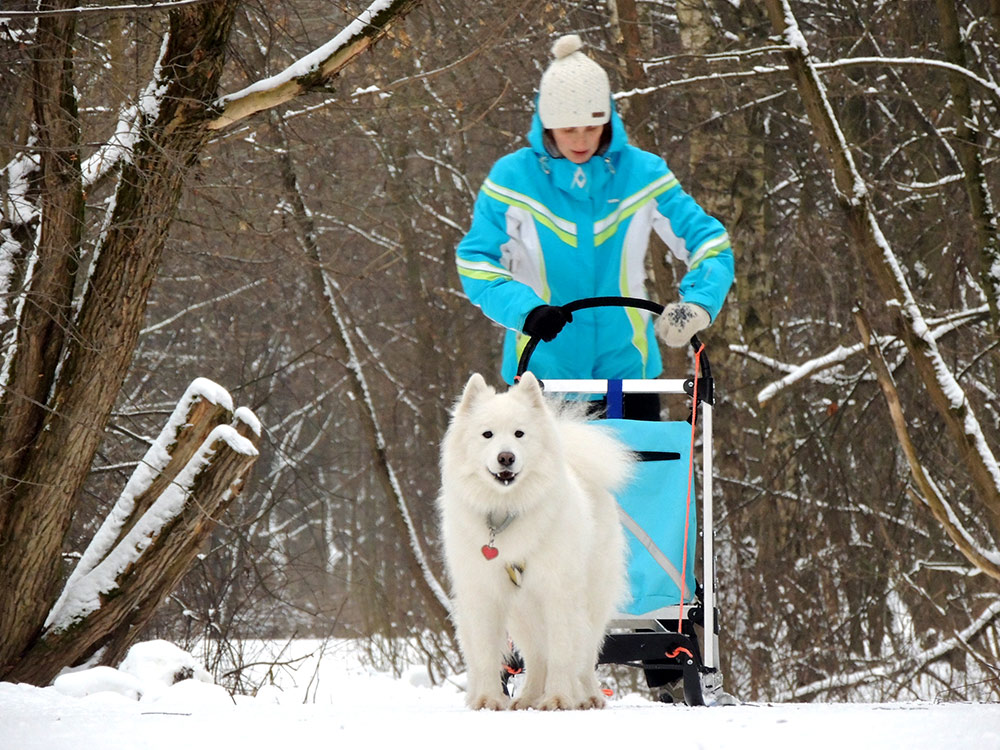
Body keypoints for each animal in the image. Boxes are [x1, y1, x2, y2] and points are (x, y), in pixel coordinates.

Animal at [436, 374, 628, 712]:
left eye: (519, 433)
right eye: (487, 434)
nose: (506, 457)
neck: (505, 514)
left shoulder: (558, 592)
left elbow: (563, 652)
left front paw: (559, 698)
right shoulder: (482, 594)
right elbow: (485, 654)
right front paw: (487, 699)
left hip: (589, 598)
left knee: (585, 652)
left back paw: (587, 696)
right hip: (522, 611)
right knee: (537, 656)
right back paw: (525, 698)